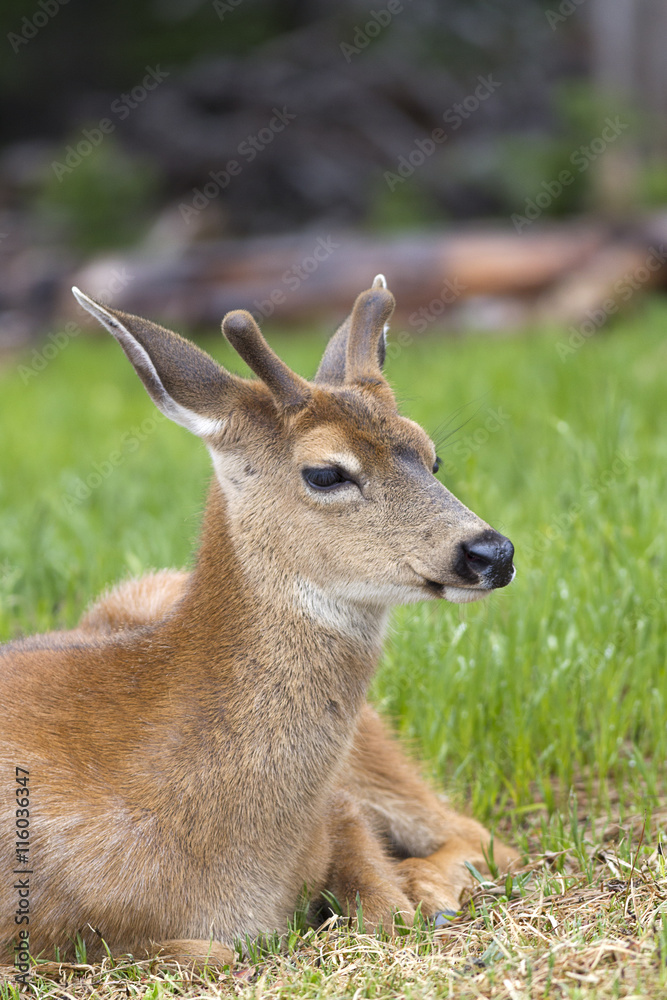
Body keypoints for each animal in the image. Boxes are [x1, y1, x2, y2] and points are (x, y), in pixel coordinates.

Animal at [0, 275, 518, 969]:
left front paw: (408, 893)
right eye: (326, 471)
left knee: (479, 834)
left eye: (431, 457)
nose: (491, 552)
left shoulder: (339, 807)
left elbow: (382, 898)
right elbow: (204, 952)